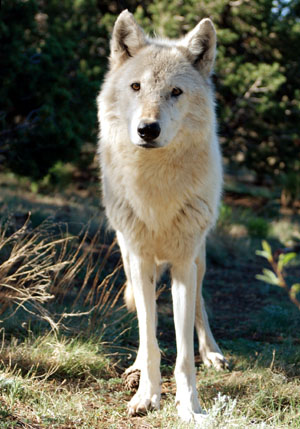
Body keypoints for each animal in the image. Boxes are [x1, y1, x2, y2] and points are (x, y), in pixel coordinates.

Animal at [97, 10, 229, 422]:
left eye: (176, 92)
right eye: (136, 86)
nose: (147, 129)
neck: (155, 185)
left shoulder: (184, 261)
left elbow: (184, 352)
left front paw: (190, 407)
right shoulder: (138, 257)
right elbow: (150, 334)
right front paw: (146, 395)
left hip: (199, 257)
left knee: (200, 306)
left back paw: (213, 352)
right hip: (127, 252)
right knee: (147, 322)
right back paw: (138, 366)